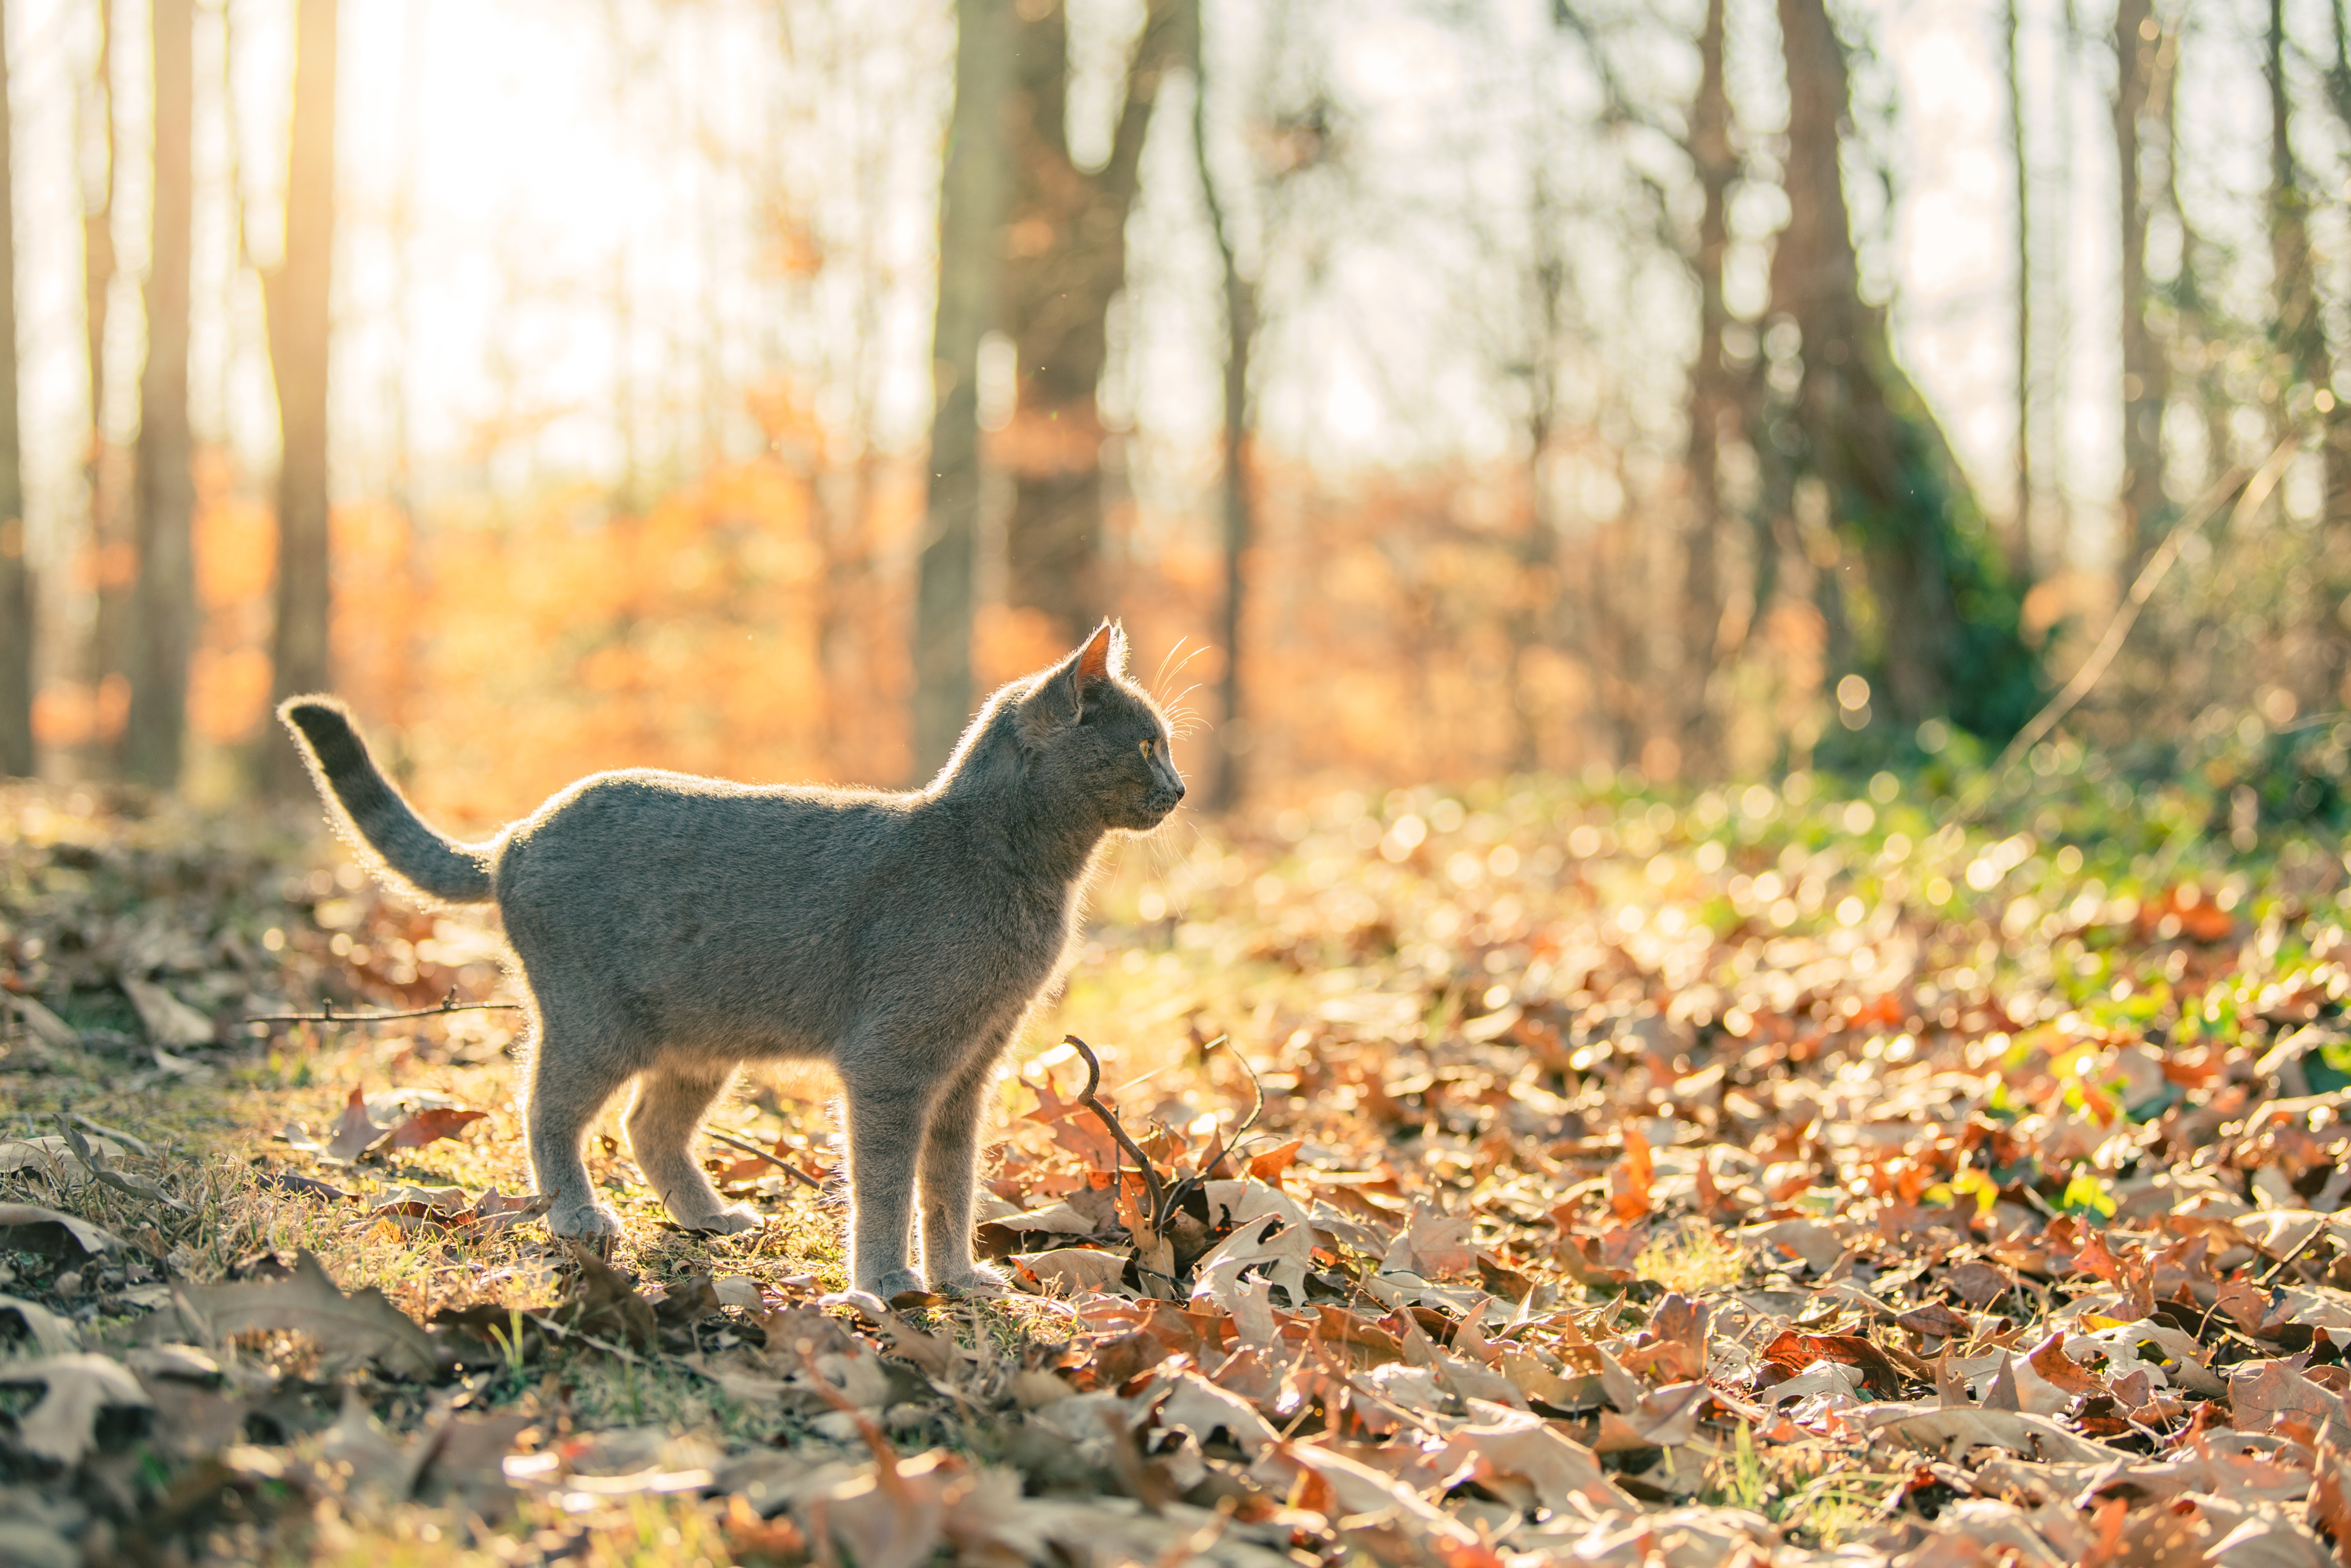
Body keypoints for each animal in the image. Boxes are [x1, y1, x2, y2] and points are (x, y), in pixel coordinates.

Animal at [282, 625, 1184, 1297]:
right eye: (1146, 744)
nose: (1178, 790)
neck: (1015, 864)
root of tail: (515, 837)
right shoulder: (893, 1058)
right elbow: (887, 1179)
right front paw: (885, 1283)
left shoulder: (971, 1067)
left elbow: (950, 1181)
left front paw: (958, 1276)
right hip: (594, 1020)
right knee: (544, 1110)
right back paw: (577, 1217)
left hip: (698, 1036)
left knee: (647, 1125)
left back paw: (708, 1217)